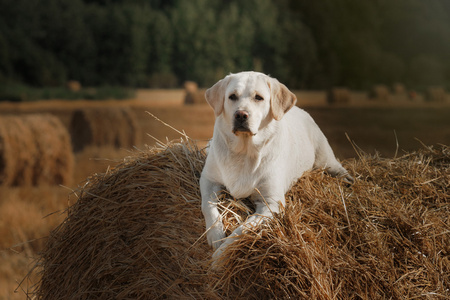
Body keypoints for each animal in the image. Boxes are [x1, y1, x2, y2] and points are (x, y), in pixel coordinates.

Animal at [200, 71, 352, 258]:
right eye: (232, 96)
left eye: (259, 97)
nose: (241, 115)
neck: (244, 152)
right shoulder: (208, 179)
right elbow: (207, 206)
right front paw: (215, 235)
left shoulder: (271, 203)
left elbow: (241, 230)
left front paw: (220, 255)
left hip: (324, 156)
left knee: (336, 166)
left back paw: (348, 179)